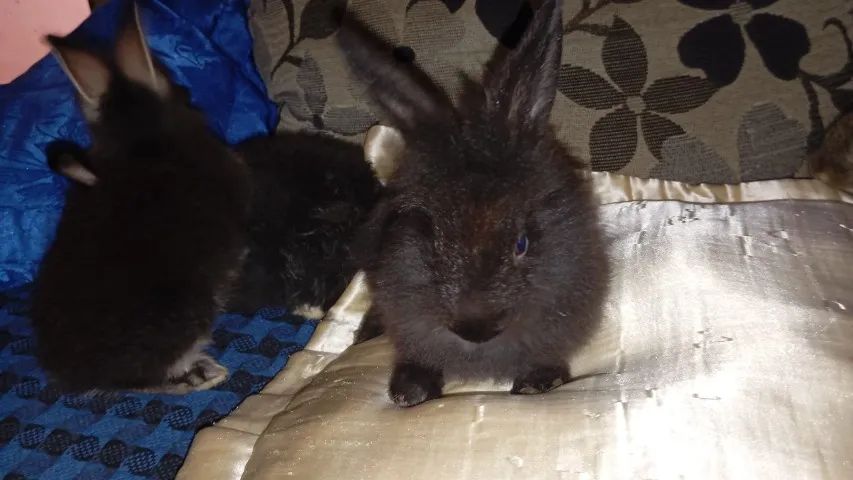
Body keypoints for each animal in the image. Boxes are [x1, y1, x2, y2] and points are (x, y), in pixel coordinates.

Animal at [31, 3, 250, 394]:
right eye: (183, 92)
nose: (189, 95)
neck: (141, 138)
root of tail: (75, 372)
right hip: (193, 312)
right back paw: (205, 374)